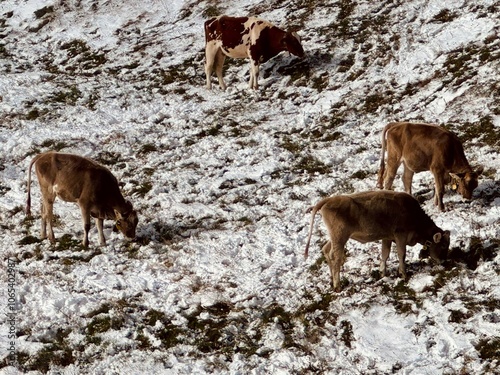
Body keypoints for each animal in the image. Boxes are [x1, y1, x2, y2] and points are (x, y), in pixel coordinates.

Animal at [302, 192, 452, 292]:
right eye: (443, 245)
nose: (444, 261)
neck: (413, 214)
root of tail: (328, 200)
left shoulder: (387, 237)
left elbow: (385, 254)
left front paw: (382, 273)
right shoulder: (400, 235)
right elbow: (401, 254)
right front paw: (403, 274)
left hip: (335, 238)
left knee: (326, 250)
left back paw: (330, 280)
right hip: (340, 238)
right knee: (336, 257)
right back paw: (337, 285)